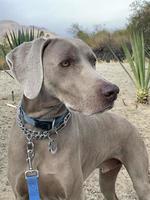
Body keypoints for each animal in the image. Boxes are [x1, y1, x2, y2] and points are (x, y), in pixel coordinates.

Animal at [5, 37, 150, 198]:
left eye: (93, 61)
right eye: (65, 63)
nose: (113, 91)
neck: (41, 130)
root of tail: (129, 123)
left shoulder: (74, 192)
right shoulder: (21, 192)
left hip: (140, 178)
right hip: (107, 178)